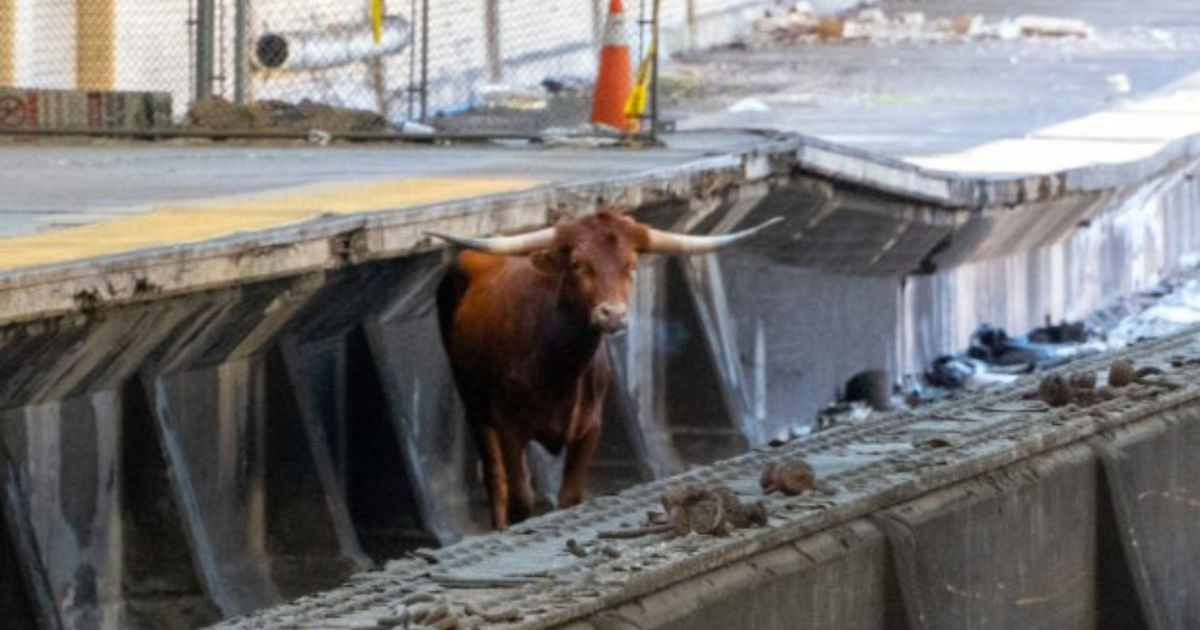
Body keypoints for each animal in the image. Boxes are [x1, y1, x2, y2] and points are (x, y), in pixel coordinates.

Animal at [431, 210, 779, 529]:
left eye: (632, 265)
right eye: (577, 264)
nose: (612, 314)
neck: (558, 367)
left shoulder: (590, 428)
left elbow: (570, 496)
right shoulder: (509, 427)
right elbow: (520, 498)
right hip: (475, 407)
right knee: (495, 481)